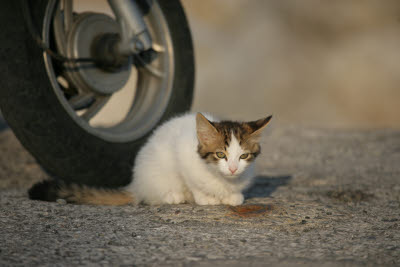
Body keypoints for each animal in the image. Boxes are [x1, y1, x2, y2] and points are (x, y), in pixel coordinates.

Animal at [28, 113, 272, 207]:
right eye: (221, 155)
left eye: (243, 156)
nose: (233, 169)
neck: (221, 178)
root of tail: (135, 183)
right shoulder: (181, 154)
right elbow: (193, 182)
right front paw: (206, 198)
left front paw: (234, 197)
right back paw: (174, 196)